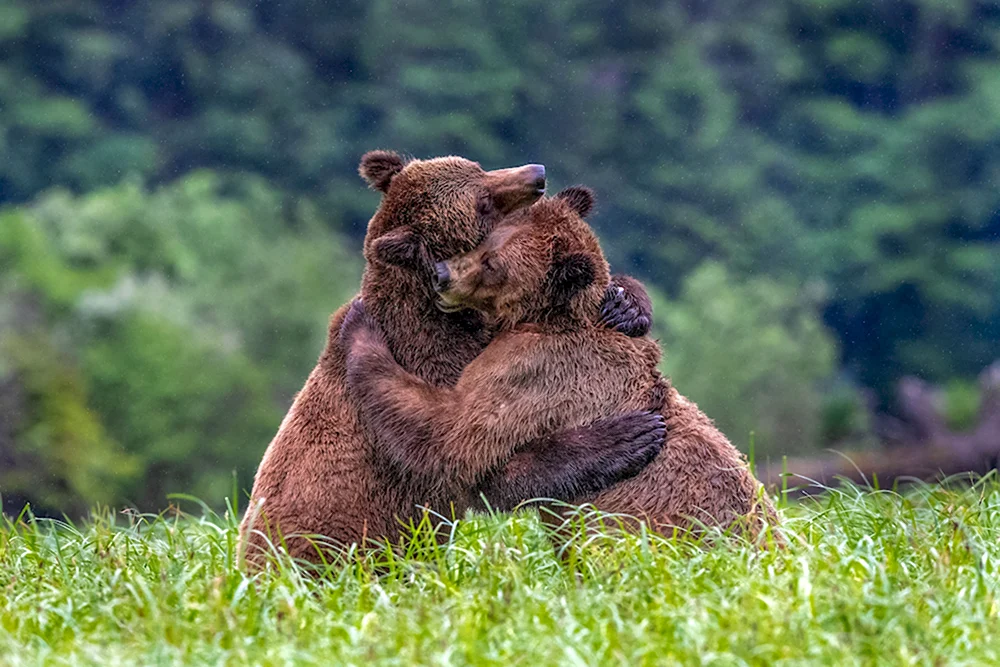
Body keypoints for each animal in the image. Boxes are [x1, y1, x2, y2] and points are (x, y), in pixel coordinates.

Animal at [238, 154, 664, 568]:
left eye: (478, 167)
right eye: (483, 202)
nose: (537, 174)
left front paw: (625, 306)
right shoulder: (441, 365)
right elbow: (467, 455)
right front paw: (628, 435)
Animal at [340, 187, 784, 544]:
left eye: (493, 264)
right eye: (482, 240)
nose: (441, 275)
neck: (544, 316)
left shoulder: (533, 370)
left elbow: (454, 434)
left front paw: (360, 328)